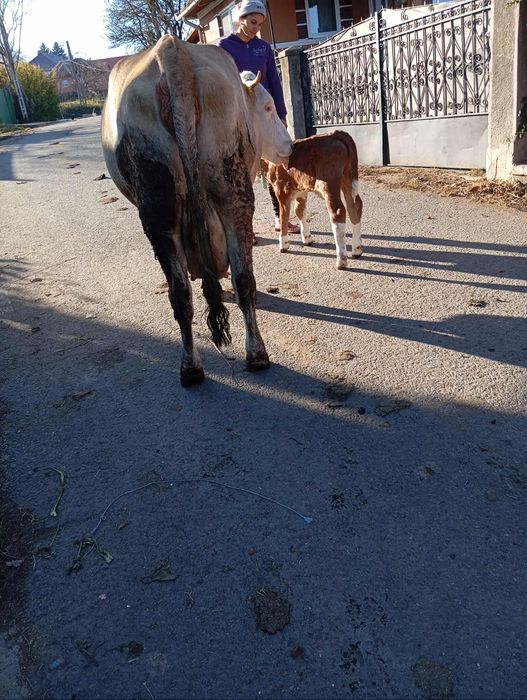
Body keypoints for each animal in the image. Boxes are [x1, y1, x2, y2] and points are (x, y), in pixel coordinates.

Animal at [101, 35, 292, 386]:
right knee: (235, 281)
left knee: (186, 291)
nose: (290, 145)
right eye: (269, 106)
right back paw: (246, 356)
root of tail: (172, 52)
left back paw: (198, 364)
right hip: (225, 194)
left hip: (164, 205)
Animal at [260, 130, 363, 269]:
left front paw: (283, 244)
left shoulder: (281, 188)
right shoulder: (301, 190)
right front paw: (307, 238)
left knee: (338, 211)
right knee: (354, 206)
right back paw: (357, 249)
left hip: (328, 181)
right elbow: (299, 211)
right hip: (347, 176)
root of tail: (334, 134)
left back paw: (341, 260)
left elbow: (284, 216)